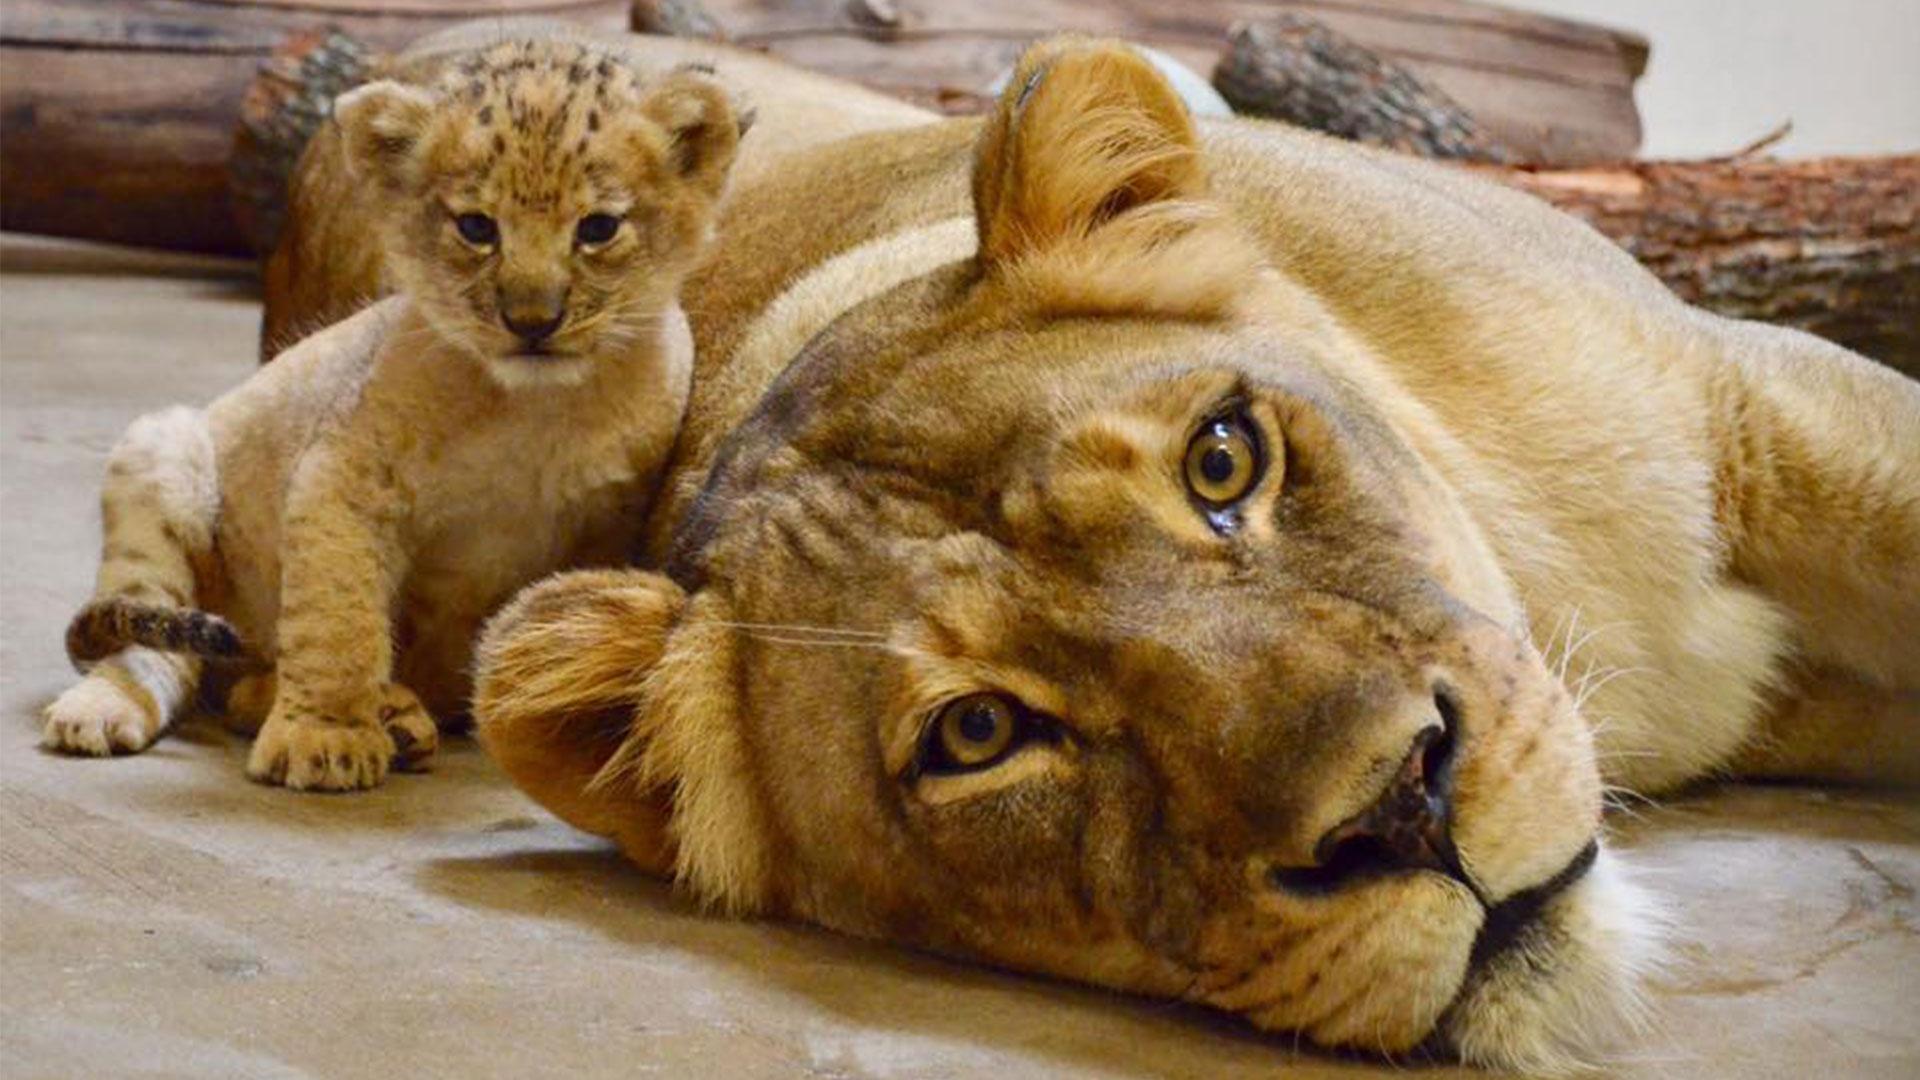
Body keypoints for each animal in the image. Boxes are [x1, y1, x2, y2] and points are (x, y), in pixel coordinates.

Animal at [42, 41, 746, 791]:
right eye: (476, 227)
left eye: (598, 229)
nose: (532, 321)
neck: (539, 408)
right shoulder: (343, 475)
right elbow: (337, 613)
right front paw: (324, 739)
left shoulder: (608, 518)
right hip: (159, 453)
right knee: (155, 633)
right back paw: (104, 711)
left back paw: (388, 715)